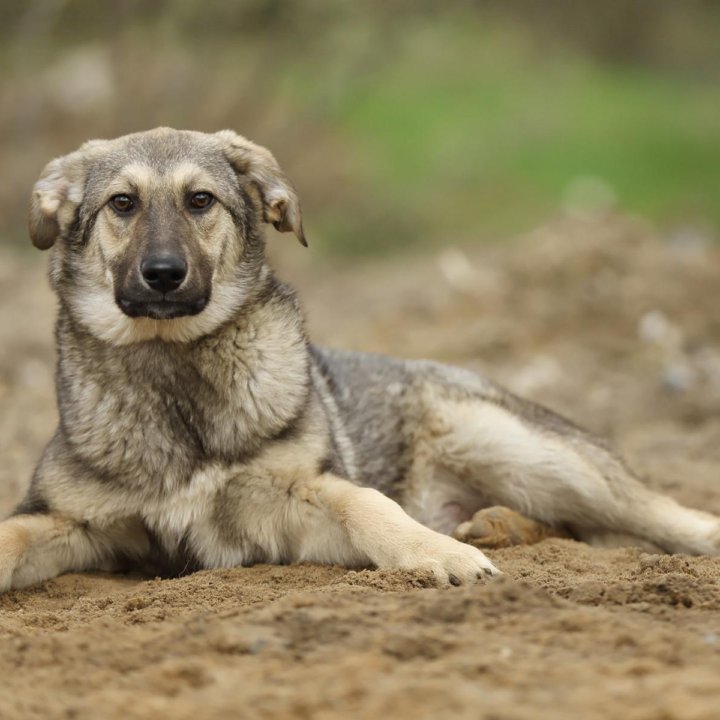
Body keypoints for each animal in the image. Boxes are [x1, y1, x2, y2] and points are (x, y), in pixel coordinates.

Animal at [1, 126, 720, 592]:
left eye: (200, 200)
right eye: (122, 204)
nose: (162, 275)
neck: (174, 371)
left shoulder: (298, 502)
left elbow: (369, 505)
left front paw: (436, 553)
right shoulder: (74, 523)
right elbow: (12, 535)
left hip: (525, 450)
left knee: (647, 509)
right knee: (566, 525)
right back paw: (494, 526)